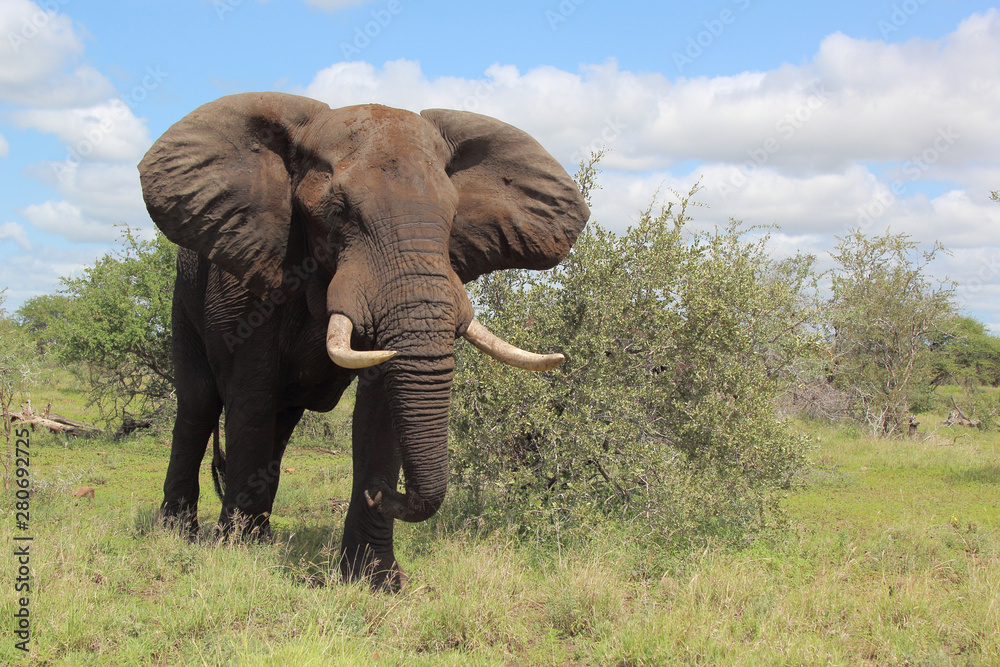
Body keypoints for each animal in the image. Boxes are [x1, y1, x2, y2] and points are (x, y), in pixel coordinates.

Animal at [137, 92, 589, 590]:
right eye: (338, 212)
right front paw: (236, 557)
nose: (385, 495)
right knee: (200, 402)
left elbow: (380, 412)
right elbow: (250, 396)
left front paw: (378, 581)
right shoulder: (248, 274)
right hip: (184, 296)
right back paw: (180, 532)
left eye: (453, 216)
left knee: (282, 419)